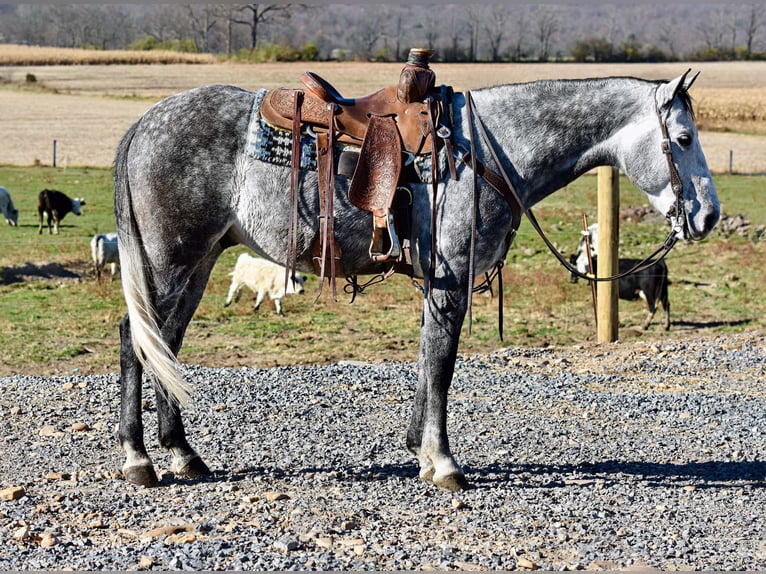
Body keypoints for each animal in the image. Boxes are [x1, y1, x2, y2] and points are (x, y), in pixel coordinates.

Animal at [114, 72, 720, 492]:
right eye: (683, 138)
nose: (708, 216)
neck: (486, 150)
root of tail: (143, 125)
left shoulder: (438, 285)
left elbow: (429, 359)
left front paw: (421, 451)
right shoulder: (451, 279)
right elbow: (442, 365)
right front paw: (444, 462)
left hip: (198, 263)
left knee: (165, 345)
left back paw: (183, 454)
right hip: (168, 262)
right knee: (134, 340)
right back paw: (139, 459)